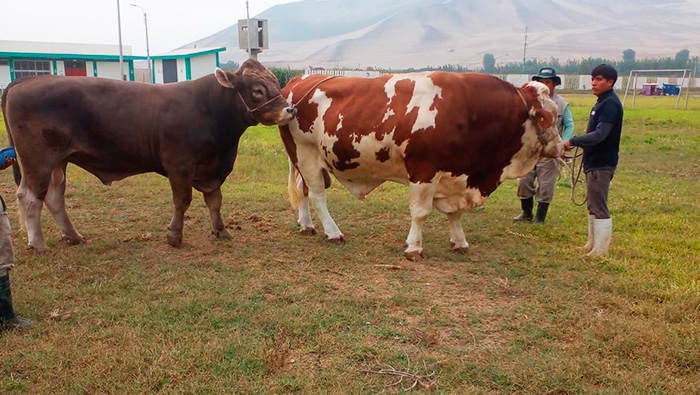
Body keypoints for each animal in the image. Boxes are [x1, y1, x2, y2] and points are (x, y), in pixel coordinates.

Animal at [2, 58, 294, 252]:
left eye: (275, 83)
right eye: (257, 90)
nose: (289, 110)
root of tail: (27, 80)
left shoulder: (212, 169)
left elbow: (215, 201)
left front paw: (220, 230)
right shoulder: (179, 165)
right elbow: (182, 201)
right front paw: (174, 236)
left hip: (58, 162)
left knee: (53, 197)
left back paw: (73, 236)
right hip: (38, 160)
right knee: (29, 198)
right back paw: (38, 244)